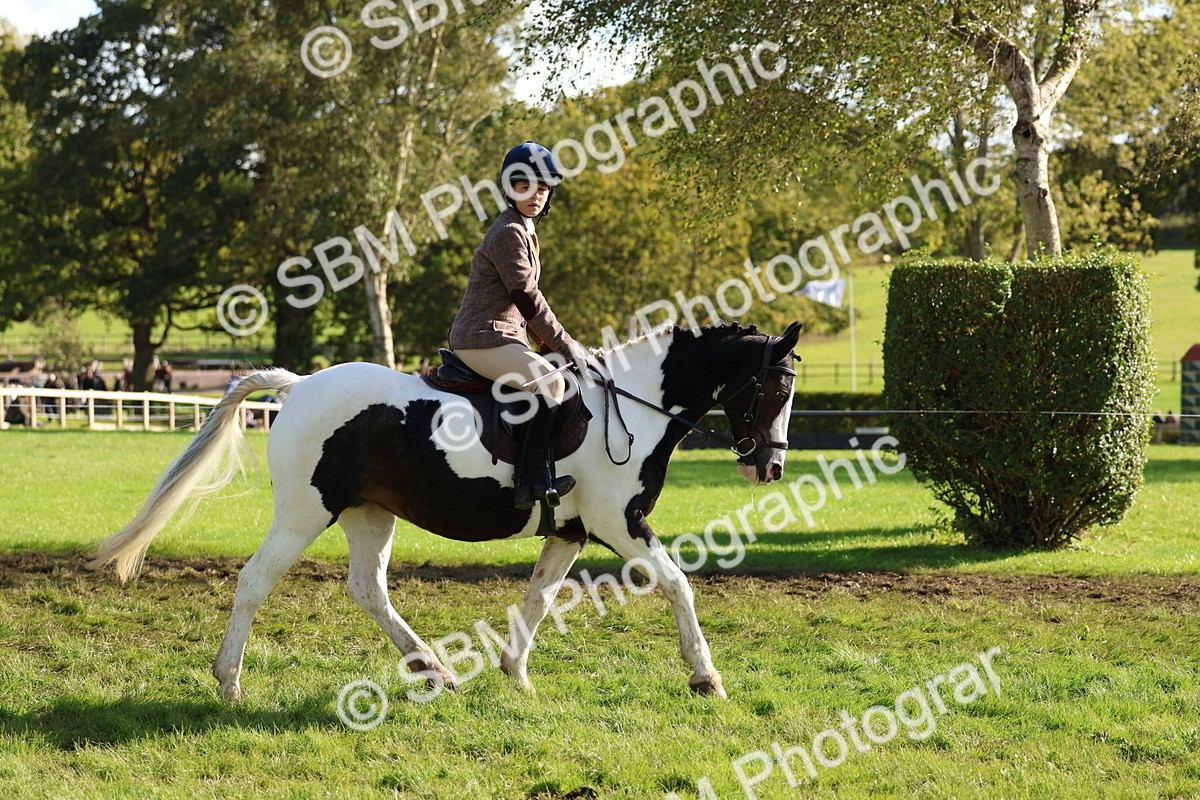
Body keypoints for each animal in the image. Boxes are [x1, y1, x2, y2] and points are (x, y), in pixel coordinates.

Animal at [92, 320, 802, 701]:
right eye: (777, 389)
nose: (769, 466)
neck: (631, 404)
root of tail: (300, 385)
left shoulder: (571, 530)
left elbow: (538, 597)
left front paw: (517, 676)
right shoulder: (617, 523)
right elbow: (679, 584)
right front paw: (706, 677)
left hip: (369, 513)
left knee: (368, 588)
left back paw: (431, 668)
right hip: (304, 512)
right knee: (254, 581)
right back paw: (230, 684)